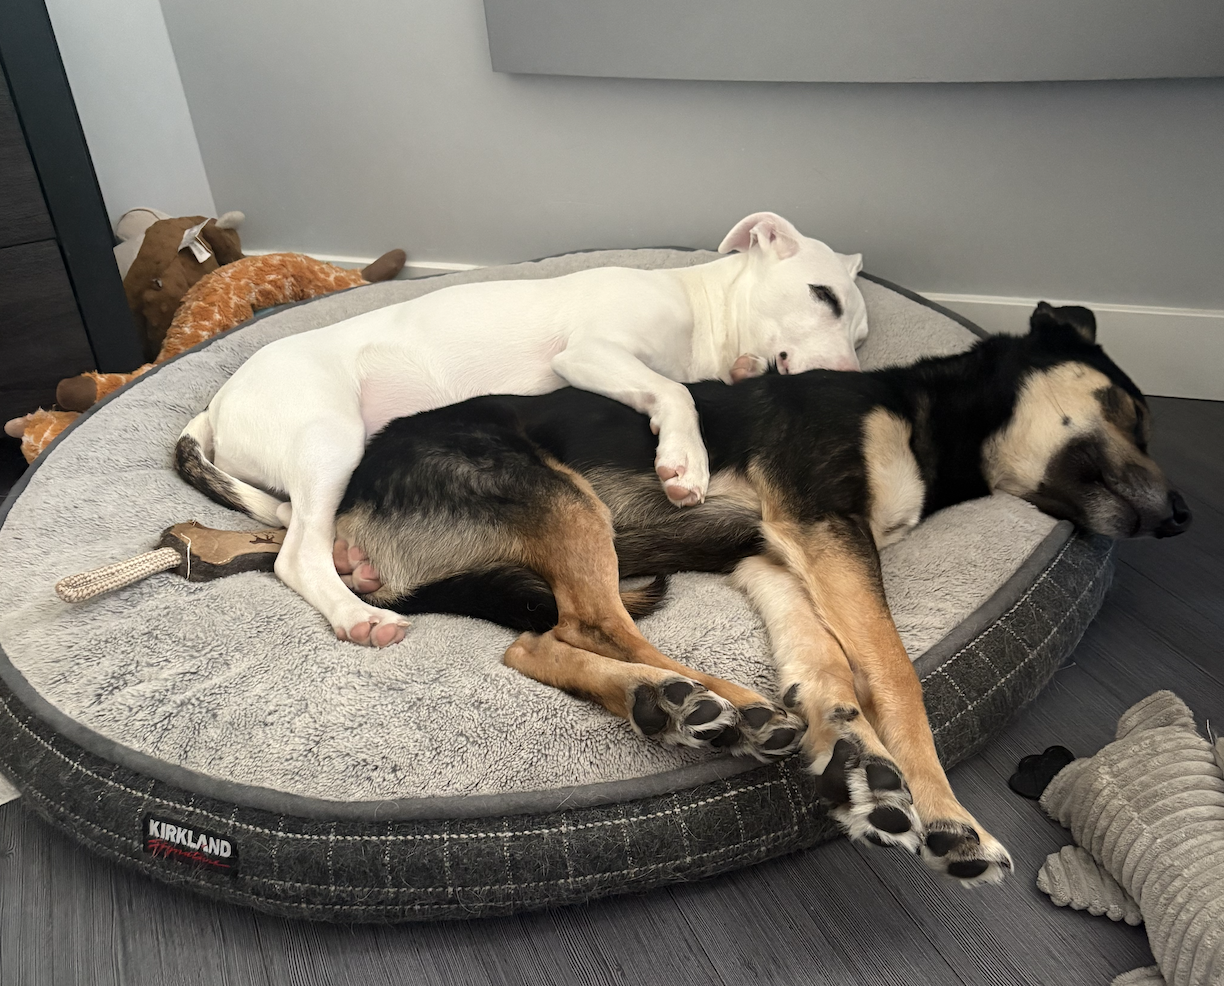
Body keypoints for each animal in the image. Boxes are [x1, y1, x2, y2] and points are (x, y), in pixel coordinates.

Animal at [175, 212, 868, 646]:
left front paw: (740, 374)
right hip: (329, 439)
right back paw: (357, 615)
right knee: (296, 556)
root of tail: (218, 404)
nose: (849, 378)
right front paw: (683, 463)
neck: (704, 311)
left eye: (862, 334)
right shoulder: (591, 354)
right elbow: (673, 392)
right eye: (822, 295)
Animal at [322, 302, 1189, 886]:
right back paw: (715, 705)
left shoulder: (777, 554)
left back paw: (679, 704)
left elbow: (829, 669)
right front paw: (947, 814)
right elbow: (894, 671)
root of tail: (350, 507)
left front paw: (860, 769)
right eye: (1128, 409)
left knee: (536, 641)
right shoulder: (822, 522)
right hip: (561, 497)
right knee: (592, 622)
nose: (1182, 517)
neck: (923, 416)